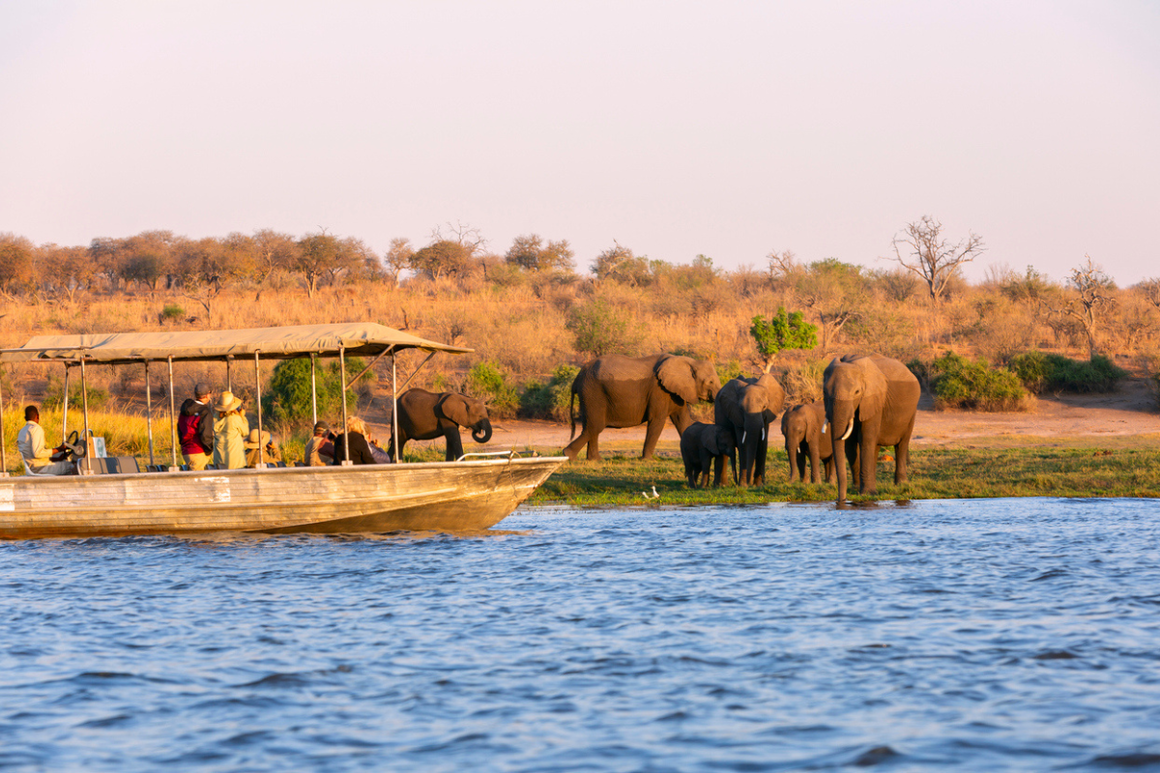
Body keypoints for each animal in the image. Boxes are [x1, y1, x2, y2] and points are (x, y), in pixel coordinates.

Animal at [564, 353, 721, 461]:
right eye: (710, 382)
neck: (688, 361)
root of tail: (577, 379)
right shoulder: (659, 390)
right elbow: (657, 421)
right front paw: (647, 460)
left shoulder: (676, 392)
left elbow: (683, 422)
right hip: (593, 393)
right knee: (595, 426)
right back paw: (569, 456)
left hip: (590, 394)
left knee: (592, 427)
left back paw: (595, 460)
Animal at [823, 354, 921, 503]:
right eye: (825, 392)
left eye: (857, 392)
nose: (841, 499)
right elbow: (850, 445)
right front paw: (857, 490)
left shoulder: (873, 399)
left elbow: (866, 438)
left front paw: (866, 494)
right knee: (875, 446)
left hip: (911, 412)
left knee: (901, 444)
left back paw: (901, 485)